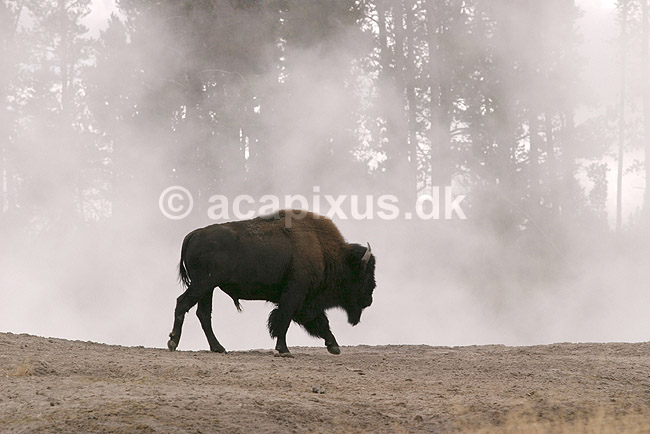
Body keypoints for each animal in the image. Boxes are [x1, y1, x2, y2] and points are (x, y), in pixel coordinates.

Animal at [167, 209, 376, 356]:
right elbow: (283, 319)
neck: (324, 251)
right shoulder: (294, 295)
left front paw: (334, 346)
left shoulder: (304, 301)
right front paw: (284, 349)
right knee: (183, 303)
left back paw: (218, 347)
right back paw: (173, 343)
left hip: (208, 289)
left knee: (203, 314)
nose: (369, 299)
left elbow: (319, 321)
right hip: (202, 284)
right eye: (364, 275)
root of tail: (193, 234)